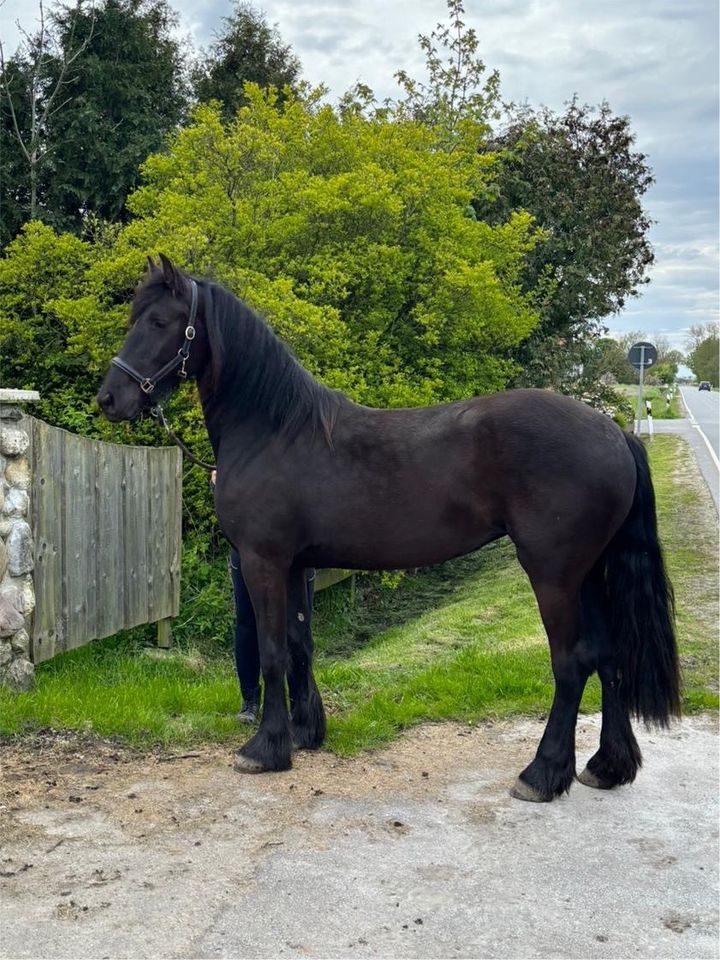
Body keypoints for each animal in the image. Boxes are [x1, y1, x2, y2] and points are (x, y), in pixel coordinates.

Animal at [97, 256, 680, 804]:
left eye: (159, 321)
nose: (109, 399)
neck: (275, 431)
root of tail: (614, 432)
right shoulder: (297, 565)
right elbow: (300, 645)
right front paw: (305, 733)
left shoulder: (264, 561)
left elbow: (271, 652)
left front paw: (265, 748)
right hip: (590, 573)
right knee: (609, 656)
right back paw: (607, 766)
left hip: (553, 574)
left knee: (572, 663)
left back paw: (541, 773)